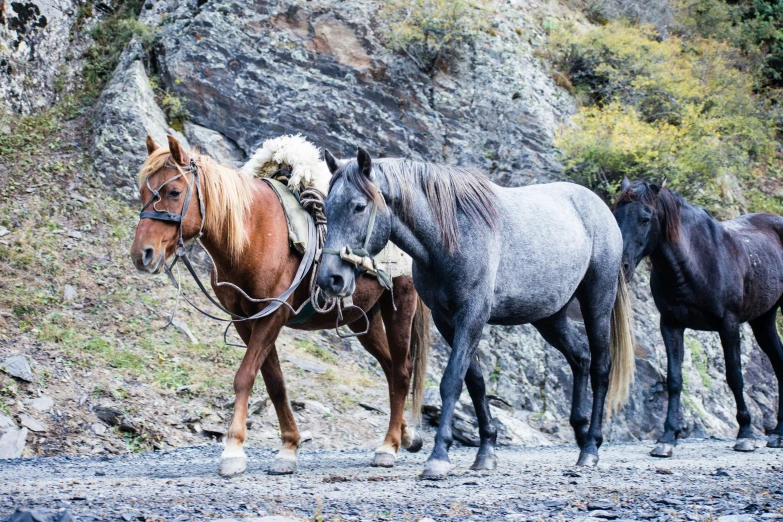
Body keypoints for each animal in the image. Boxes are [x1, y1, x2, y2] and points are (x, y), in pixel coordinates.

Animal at [131, 135, 432, 476]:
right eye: (143, 192)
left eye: (173, 191)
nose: (142, 254)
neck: (253, 231)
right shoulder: (245, 321)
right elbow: (275, 383)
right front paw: (288, 448)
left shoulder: (272, 314)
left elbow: (245, 376)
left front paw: (233, 450)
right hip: (361, 319)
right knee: (390, 368)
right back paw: (406, 436)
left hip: (399, 308)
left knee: (402, 371)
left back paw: (389, 446)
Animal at [318, 148, 636, 478]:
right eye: (327, 206)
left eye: (359, 206)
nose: (330, 279)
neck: (451, 236)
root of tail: (599, 207)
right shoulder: (447, 321)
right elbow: (476, 382)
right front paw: (486, 451)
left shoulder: (472, 316)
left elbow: (452, 381)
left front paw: (439, 456)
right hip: (550, 317)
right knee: (580, 358)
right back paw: (580, 432)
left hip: (596, 303)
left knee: (601, 367)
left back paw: (591, 447)